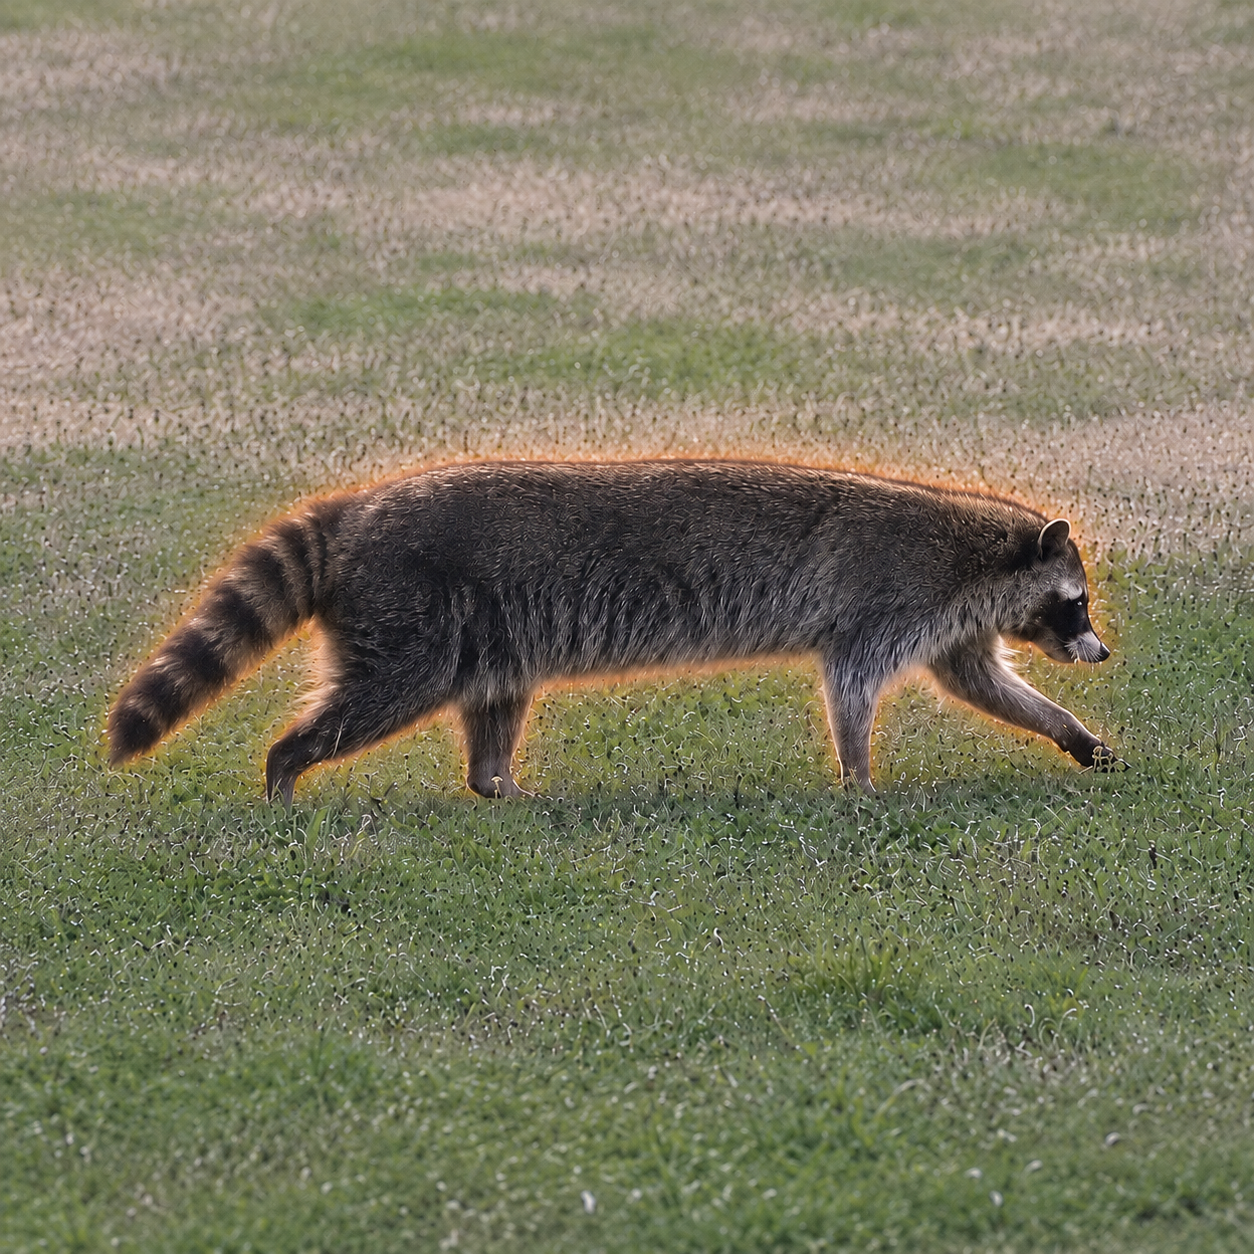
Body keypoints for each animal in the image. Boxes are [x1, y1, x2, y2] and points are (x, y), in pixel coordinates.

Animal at [108, 460, 1115, 802]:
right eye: (1076, 601)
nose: (1100, 650)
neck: (984, 553)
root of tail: (354, 510)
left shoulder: (950, 622)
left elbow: (983, 684)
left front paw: (1070, 731)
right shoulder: (891, 597)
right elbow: (852, 689)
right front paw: (858, 775)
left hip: (489, 630)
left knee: (494, 708)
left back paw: (499, 783)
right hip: (413, 617)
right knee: (379, 695)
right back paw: (286, 767)